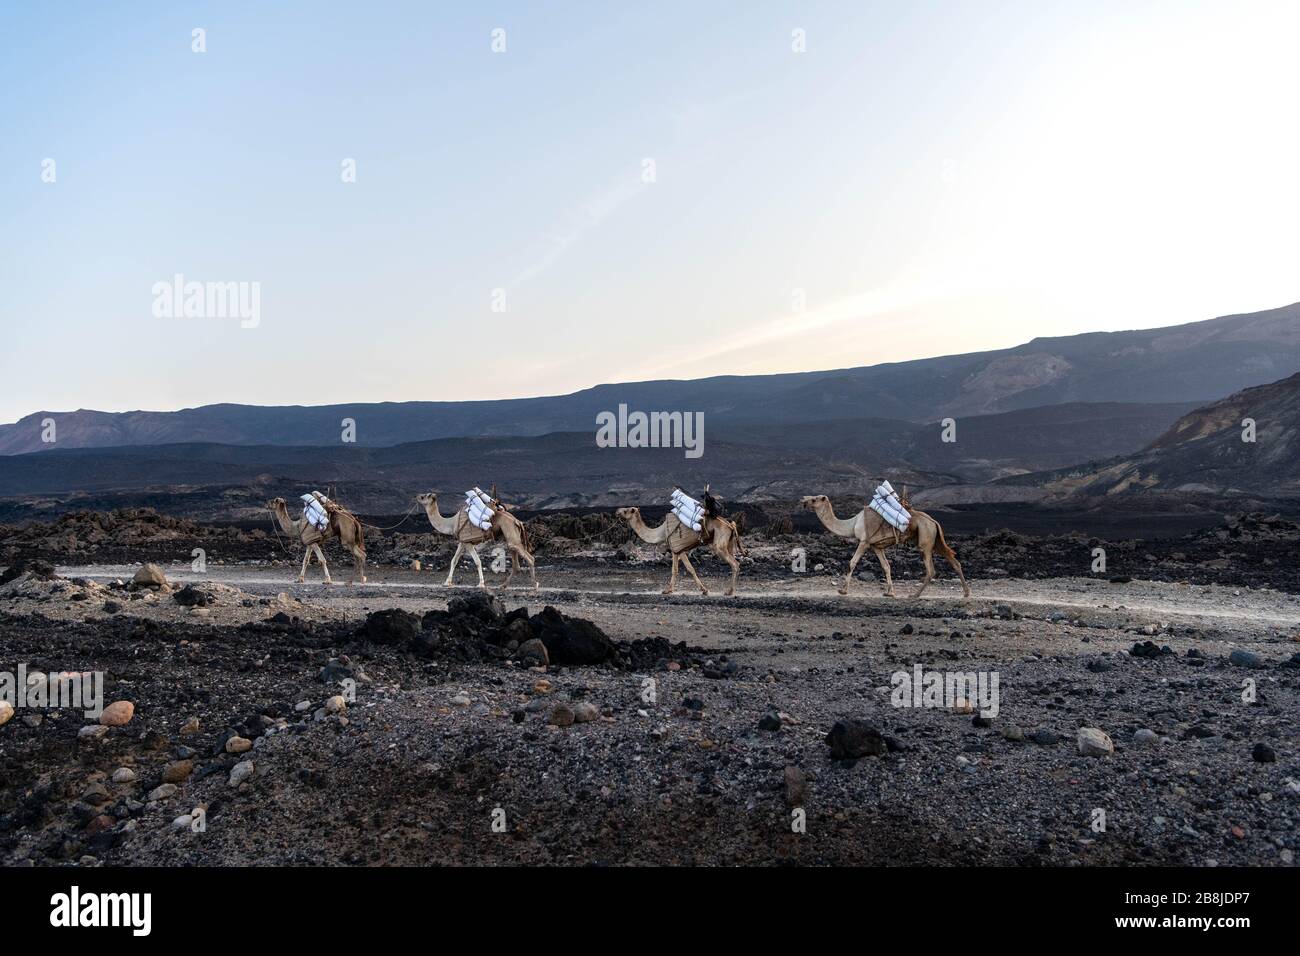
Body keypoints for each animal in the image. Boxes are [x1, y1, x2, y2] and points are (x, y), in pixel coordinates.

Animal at [616, 504, 748, 595]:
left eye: (626, 510)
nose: (617, 511)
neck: (662, 532)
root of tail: (730, 525)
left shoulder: (677, 548)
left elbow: (683, 569)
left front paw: (668, 590)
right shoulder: (678, 550)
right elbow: (681, 569)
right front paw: (670, 590)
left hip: (719, 541)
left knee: (734, 564)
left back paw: (729, 591)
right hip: (729, 542)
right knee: (734, 561)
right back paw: (730, 590)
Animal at [795, 494, 972, 598]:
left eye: (814, 499)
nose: (802, 500)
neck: (853, 524)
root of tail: (934, 521)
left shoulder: (864, 541)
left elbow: (852, 562)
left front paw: (843, 590)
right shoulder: (876, 546)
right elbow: (886, 566)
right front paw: (889, 593)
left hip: (926, 540)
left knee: (931, 569)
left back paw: (915, 595)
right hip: (935, 540)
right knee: (954, 561)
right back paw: (966, 592)